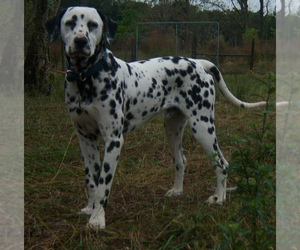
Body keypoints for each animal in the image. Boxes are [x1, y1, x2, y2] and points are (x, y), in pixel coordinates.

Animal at [45, 6, 266, 229]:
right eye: (69, 23)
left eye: (93, 24)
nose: (80, 41)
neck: (85, 78)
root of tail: (198, 62)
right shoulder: (85, 138)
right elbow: (91, 180)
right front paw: (89, 209)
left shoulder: (113, 140)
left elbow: (103, 185)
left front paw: (97, 218)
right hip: (172, 128)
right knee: (181, 160)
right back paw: (177, 191)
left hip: (203, 128)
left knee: (221, 162)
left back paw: (219, 197)